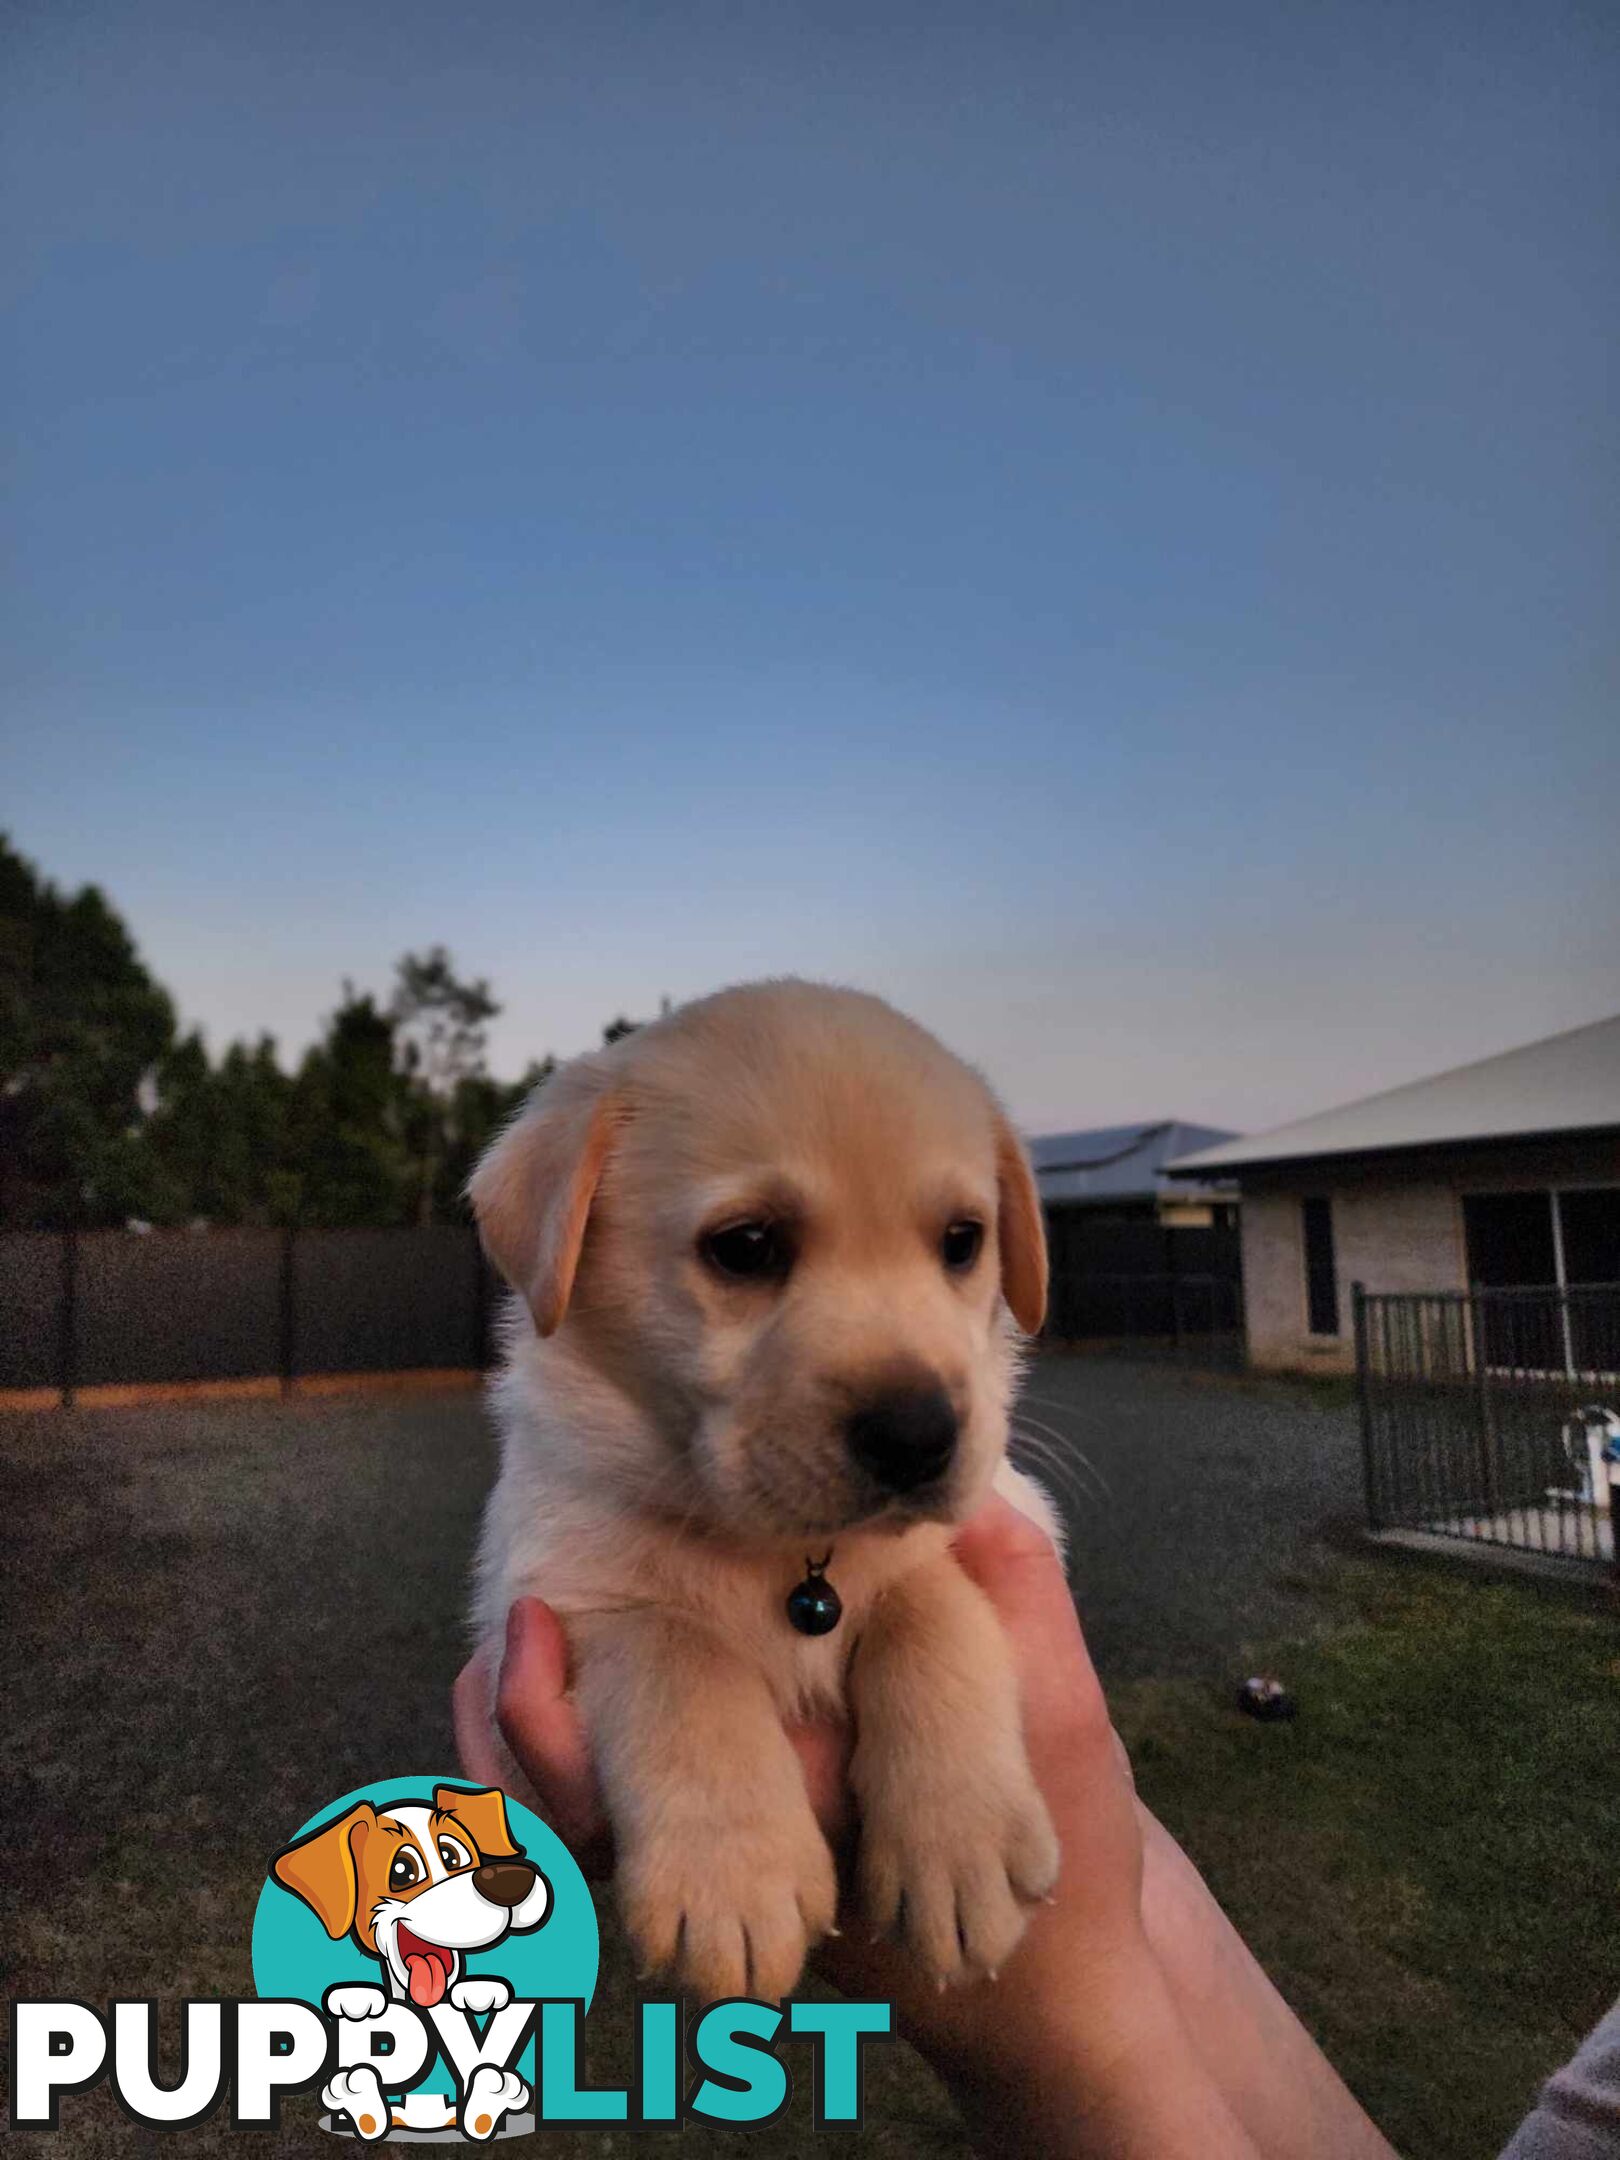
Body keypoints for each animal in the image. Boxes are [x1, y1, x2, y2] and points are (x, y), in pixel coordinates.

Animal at [466, 976, 1067, 1987]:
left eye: (962, 1241)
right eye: (745, 1246)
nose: (919, 1436)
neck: (789, 1557)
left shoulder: (984, 1526)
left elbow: (931, 1613)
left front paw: (960, 1843)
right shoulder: (568, 1588)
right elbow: (682, 1661)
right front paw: (731, 1879)